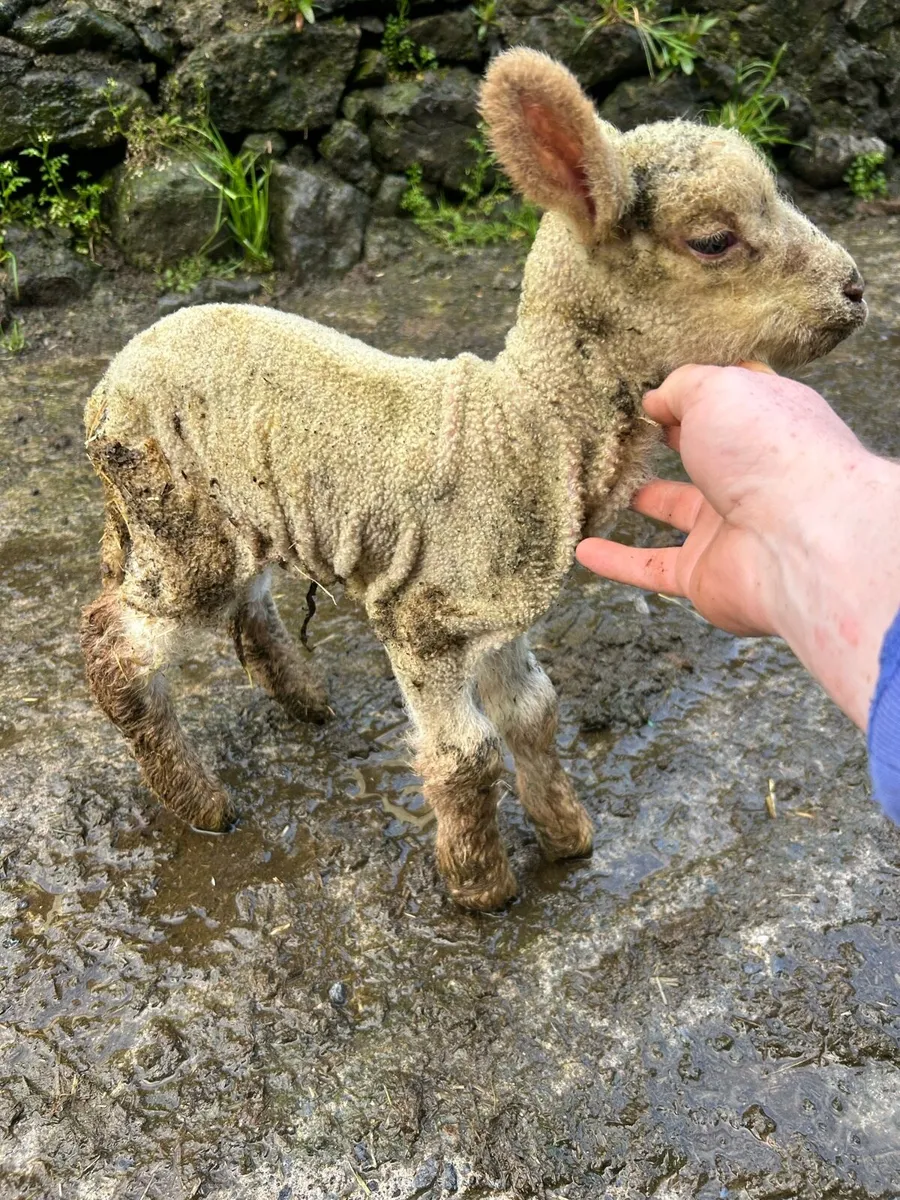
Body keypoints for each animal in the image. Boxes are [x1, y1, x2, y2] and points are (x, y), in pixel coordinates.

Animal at [80, 48, 867, 911]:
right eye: (715, 240)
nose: (856, 288)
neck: (527, 426)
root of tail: (110, 377)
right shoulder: (423, 615)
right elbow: (465, 754)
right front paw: (481, 885)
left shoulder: (500, 607)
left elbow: (534, 714)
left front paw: (566, 836)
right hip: (172, 511)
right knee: (118, 653)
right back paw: (202, 805)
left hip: (235, 509)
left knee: (249, 605)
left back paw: (307, 702)